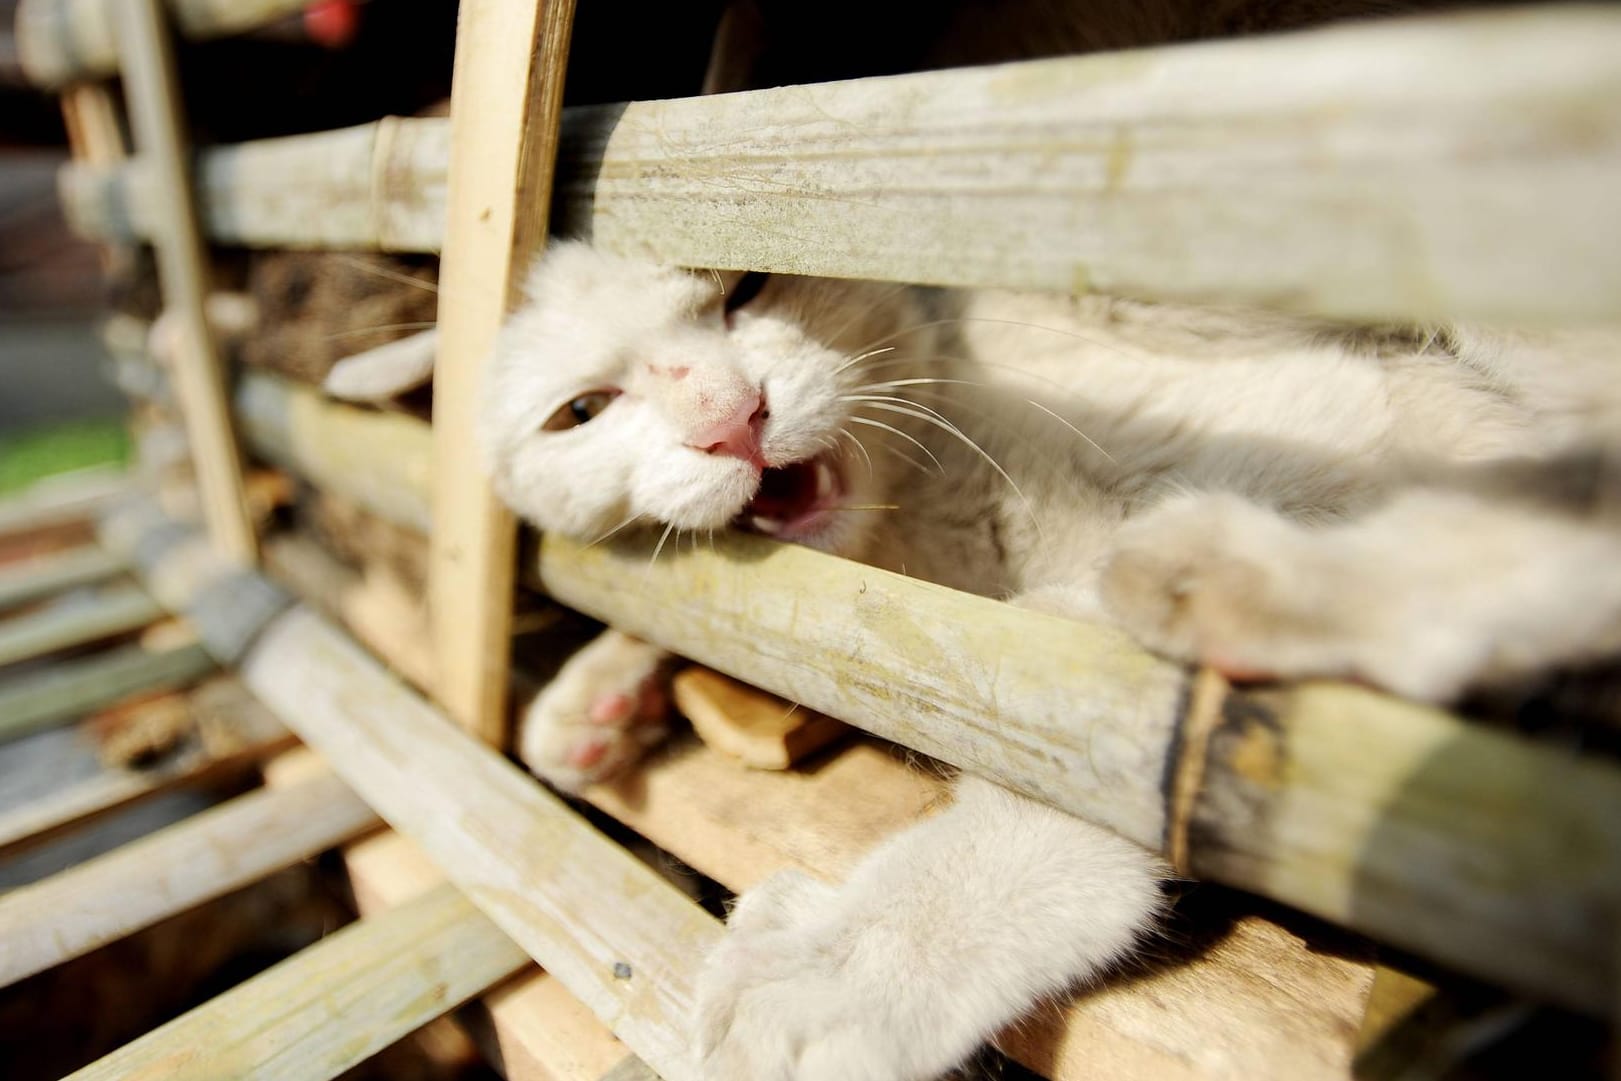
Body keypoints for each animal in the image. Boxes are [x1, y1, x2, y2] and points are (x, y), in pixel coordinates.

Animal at [466, 244, 1621, 1081]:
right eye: (582, 411)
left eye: (744, 285)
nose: (728, 419)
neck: (919, 529)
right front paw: (600, 692)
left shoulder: (1320, 431)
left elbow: (1077, 731)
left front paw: (855, 963)